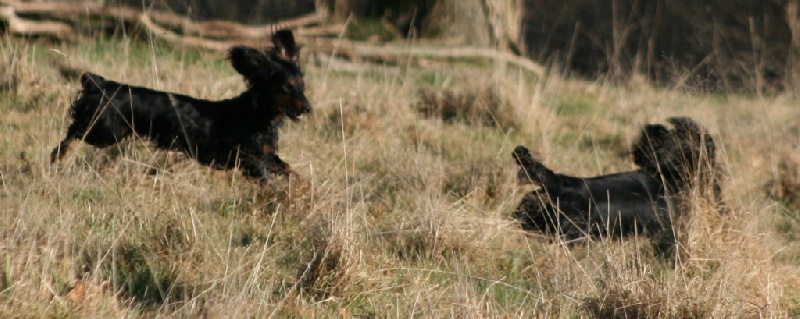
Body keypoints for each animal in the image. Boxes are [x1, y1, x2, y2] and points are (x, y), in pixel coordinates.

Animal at [50, 30, 310, 185]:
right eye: (285, 88)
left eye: (301, 85)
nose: (308, 108)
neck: (257, 114)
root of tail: (101, 84)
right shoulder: (252, 160)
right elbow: (270, 180)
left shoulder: (267, 156)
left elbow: (288, 169)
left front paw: (302, 186)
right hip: (104, 130)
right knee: (73, 133)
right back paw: (57, 157)